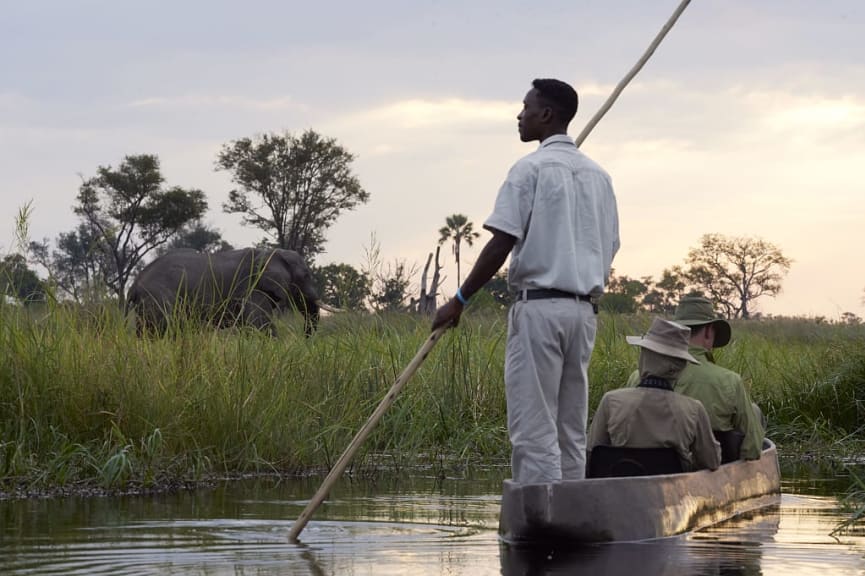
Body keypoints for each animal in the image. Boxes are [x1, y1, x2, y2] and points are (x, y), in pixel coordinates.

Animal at [125, 248, 320, 338]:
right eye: (306, 276)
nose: (305, 339)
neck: (270, 252)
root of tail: (134, 285)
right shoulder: (251, 288)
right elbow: (261, 325)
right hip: (158, 299)